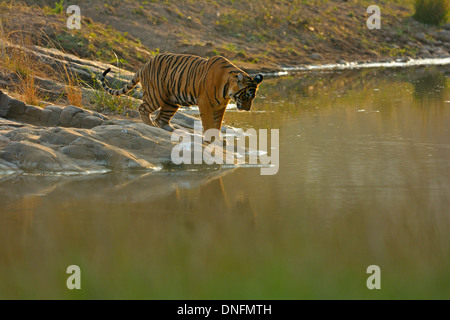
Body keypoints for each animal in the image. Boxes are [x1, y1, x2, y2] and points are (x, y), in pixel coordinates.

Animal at [100, 53, 262, 133]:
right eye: (247, 96)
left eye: (252, 97)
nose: (247, 109)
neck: (228, 89)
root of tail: (144, 65)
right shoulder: (205, 103)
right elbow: (209, 122)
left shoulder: (220, 106)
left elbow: (217, 122)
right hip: (155, 95)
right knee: (143, 108)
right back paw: (150, 126)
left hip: (172, 101)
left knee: (161, 118)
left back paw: (171, 130)